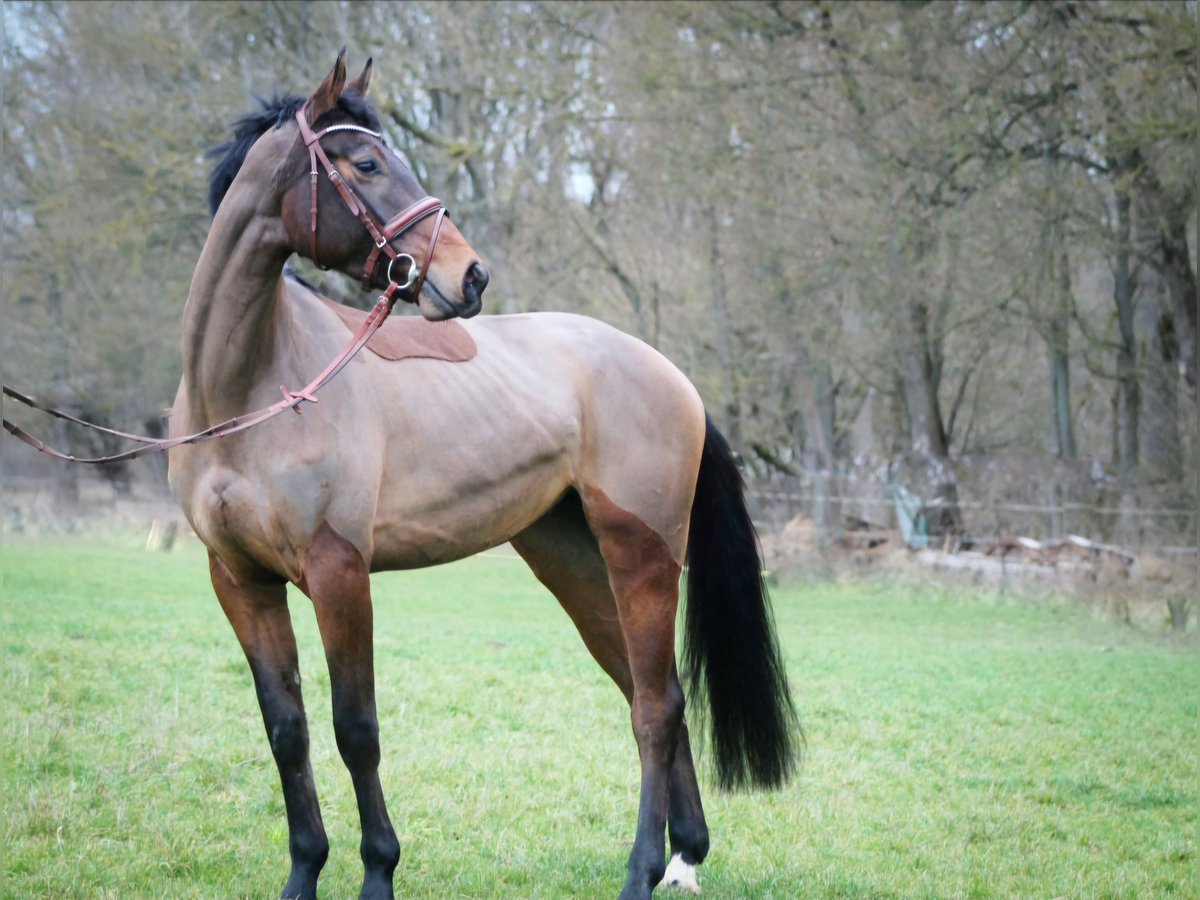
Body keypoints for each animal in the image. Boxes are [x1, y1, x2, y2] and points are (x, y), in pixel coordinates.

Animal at [164, 52, 792, 900]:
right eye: (366, 164)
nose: (470, 277)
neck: (254, 390)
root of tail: (673, 378)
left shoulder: (338, 574)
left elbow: (356, 731)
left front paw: (378, 873)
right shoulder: (240, 581)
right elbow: (287, 731)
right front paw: (303, 874)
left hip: (643, 557)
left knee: (655, 708)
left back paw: (642, 869)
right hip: (574, 564)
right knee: (650, 690)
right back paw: (684, 855)